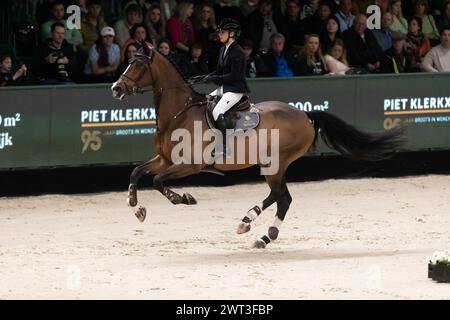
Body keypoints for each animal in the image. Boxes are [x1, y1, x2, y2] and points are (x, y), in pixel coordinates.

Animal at [110, 43, 406, 248]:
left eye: (137, 65)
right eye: (128, 61)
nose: (115, 88)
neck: (179, 113)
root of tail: (305, 115)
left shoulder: (189, 165)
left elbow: (158, 181)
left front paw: (183, 198)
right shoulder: (165, 159)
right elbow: (137, 172)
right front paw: (136, 208)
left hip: (275, 163)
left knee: (280, 195)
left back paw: (248, 221)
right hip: (273, 164)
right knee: (283, 198)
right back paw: (264, 235)